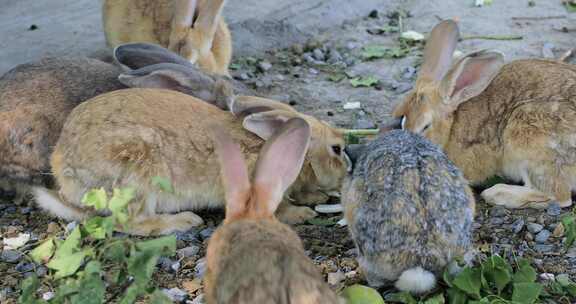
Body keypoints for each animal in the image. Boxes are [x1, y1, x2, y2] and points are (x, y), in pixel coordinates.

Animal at [33, 88, 348, 235]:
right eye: (337, 149)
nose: (347, 172)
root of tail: (63, 171)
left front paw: (315, 198)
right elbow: (277, 207)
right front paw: (301, 214)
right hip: (136, 173)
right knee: (130, 222)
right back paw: (183, 221)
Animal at [394, 19, 576, 209]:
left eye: (425, 126)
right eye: (402, 121)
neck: (452, 126)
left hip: (528, 136)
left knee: (558, 196)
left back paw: (497, 193)